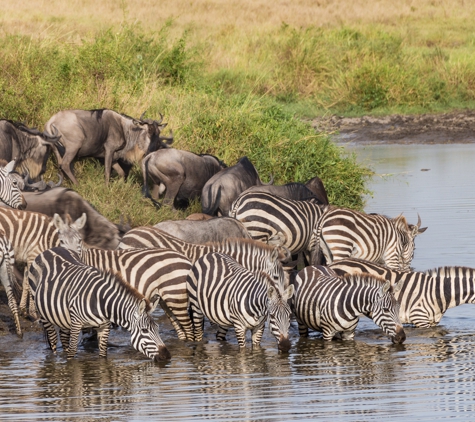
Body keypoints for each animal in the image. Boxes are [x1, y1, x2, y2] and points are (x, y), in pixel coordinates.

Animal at [27, 247, 170, 362]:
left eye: (157, 328)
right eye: (144, 330)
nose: (167, 356)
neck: (101, 302)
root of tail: (49, 249)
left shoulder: (104, 327)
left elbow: (103, 355)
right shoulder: (76, 324)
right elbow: (72, 354)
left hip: (63, 317)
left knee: (63, 336)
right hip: (43, 313)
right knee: (53, 341)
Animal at [54, 214, 196, 342]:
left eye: (79, 240)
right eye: (62, 241)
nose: (74, 256)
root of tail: (186, 259)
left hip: (175, 294)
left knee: (189, 328)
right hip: (165, 299)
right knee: (180, 328)